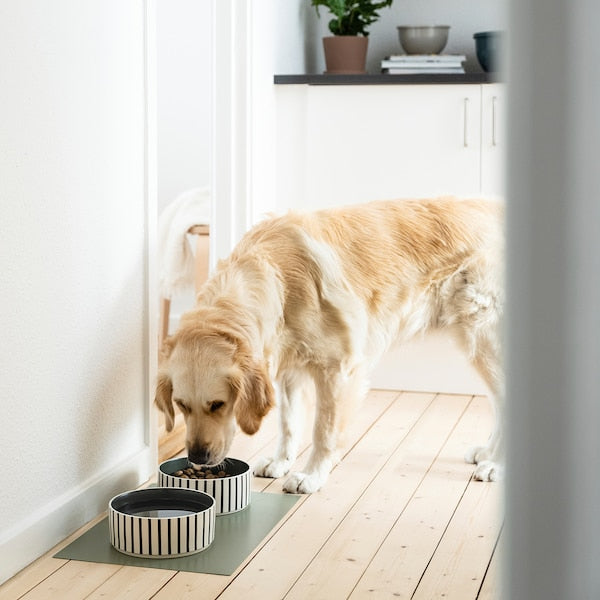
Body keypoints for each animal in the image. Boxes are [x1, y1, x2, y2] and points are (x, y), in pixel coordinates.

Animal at [157, 197, 504, 492]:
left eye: (218, 404)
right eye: (181, 405)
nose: (197, 457)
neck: (278, 279)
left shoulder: (337, 368)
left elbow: (322, 430)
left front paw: (311, 475)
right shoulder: (288, 369)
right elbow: (288, 423)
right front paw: (281, 461)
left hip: (483, 336)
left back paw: (495, 465)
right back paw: (488, 452)